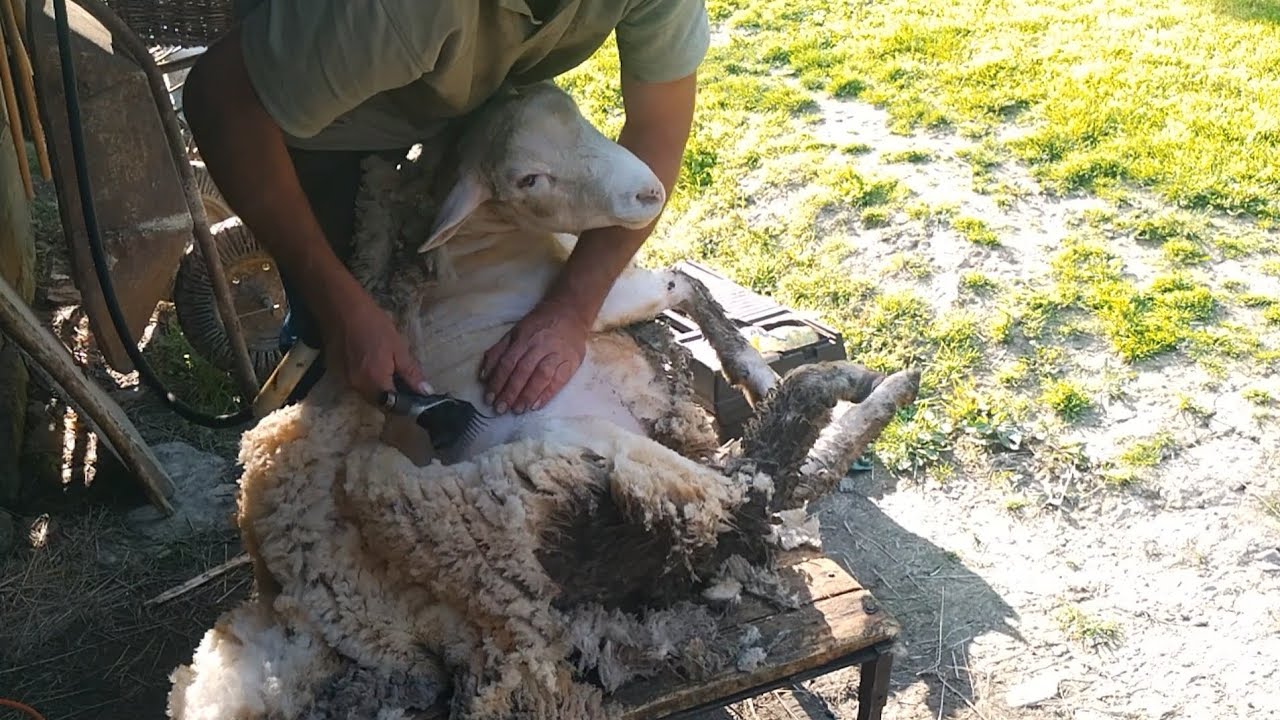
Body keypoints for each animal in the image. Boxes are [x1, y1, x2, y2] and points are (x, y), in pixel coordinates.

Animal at [166, 80, 920, 720]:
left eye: (582, 113)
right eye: (529, 179)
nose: (649, 192)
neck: (485, 247)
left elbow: (687, 287)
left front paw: (752, 368)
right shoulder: (580, 311)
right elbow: (683, 284)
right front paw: (755, 371)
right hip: (615, 472)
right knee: (757, 483)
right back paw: (866, 385)